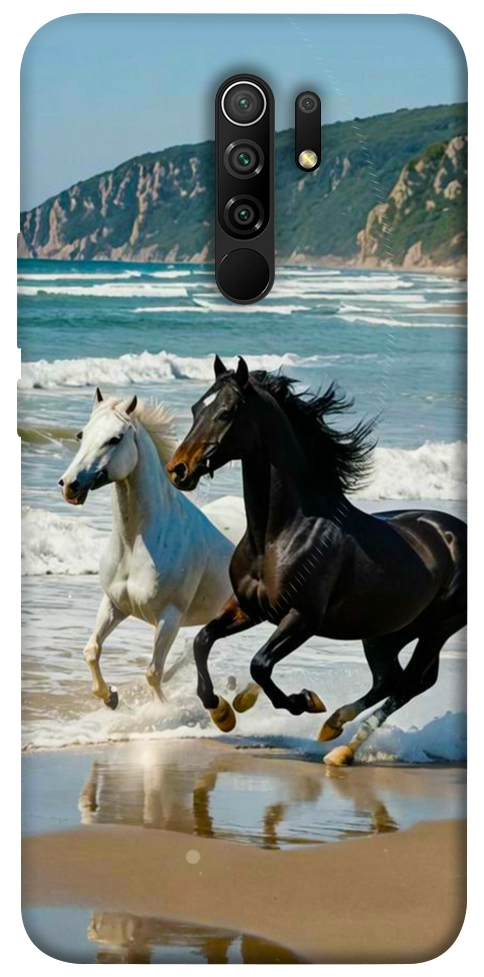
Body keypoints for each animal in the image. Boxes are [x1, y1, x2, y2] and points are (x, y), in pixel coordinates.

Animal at [59, 388, 234, 709]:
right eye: (81, 434)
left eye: (115, 438)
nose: (69, 485)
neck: (135, 544)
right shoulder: (114, 604)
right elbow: (92, 650)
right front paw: (110, 697)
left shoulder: (169, 618)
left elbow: (153, 672)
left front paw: (161, 711)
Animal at [166, 356, 466, 765]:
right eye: (197, 408)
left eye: (226, 412)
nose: (178, 469)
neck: (279, 534)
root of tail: (456, 532)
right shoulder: (249, 608)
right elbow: (202, 640)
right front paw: (223, 712)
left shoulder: (302, 618)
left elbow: (260, 664)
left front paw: (303, 701)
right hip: (386, 632)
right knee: (390, 679)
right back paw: (334, 729)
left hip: (437, 628)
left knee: (410, 683)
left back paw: (340, 746)